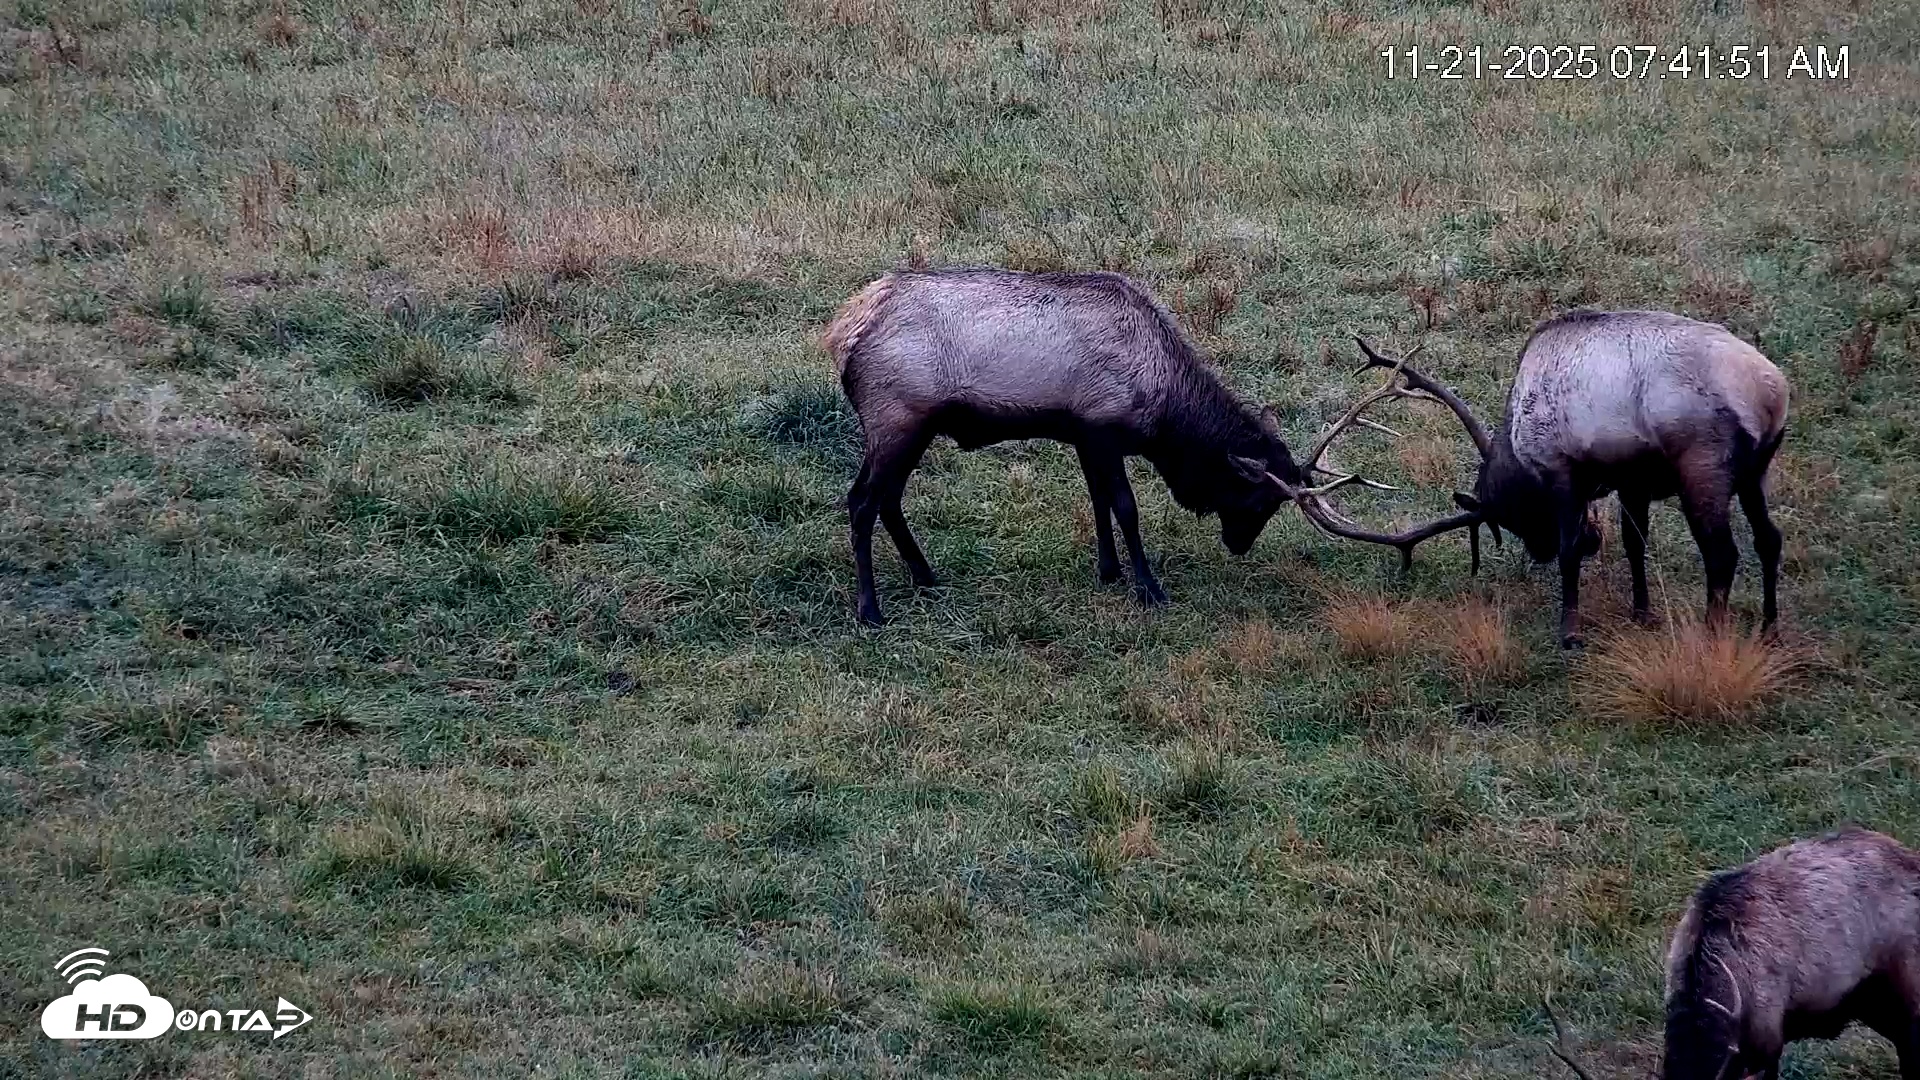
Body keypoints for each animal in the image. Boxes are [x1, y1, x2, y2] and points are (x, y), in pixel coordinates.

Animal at [821, 266, 1470, 626]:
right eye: (1259, 500)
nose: (1238, 545)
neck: (1163, 412)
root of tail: (841, 332)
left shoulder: (1084, 435)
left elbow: (1097, 505)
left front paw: (1109, 572)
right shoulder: (1103, 429)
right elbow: (1126, 508)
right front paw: (1149, 588)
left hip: (910, 428)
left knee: (886, 501)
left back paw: (926, 575)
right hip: (897, 419)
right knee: (861, 502)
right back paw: (870, 610)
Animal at [1336, 310, 1789, 648]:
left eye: (1508, 516)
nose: (1539, 551)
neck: (1517, 445)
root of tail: (1771, 393)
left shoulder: (1563, 472)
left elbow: (1570, 553)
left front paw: (1569, 632)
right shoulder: (1632, 480)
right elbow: (1634, 543)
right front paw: (1641, 613)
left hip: (1703, 466)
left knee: (1723, 554)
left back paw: (1713, 635)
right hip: (1756, 470)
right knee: (1769, 539)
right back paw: (1769, 628)